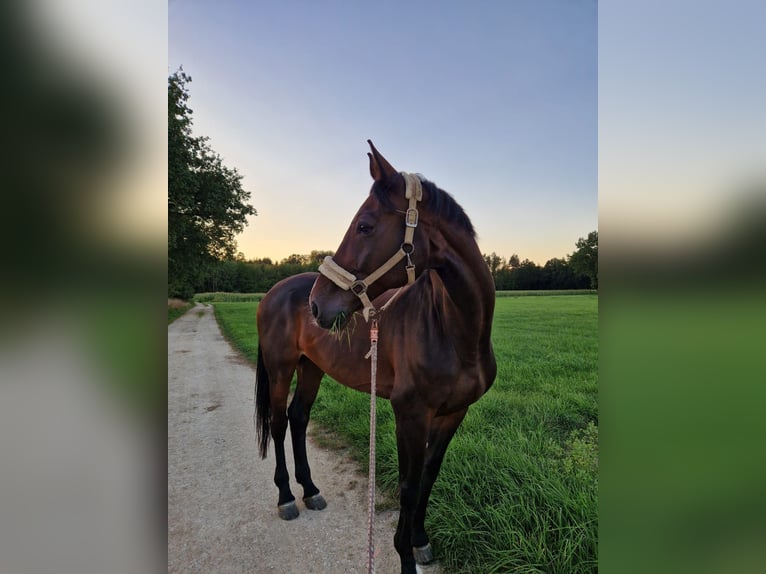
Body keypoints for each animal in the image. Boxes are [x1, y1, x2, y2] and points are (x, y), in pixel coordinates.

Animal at [255, 141, 500, 574]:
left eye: (365, 226)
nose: (317, 305)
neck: (455, 331)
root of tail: (273, 292)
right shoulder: (410, 414)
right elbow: (407, 485)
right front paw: (405, 554)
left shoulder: (454, 413)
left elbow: (428, 475)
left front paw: (419, 540)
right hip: (280, 368)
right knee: (279, 421)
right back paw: (286, 498)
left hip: (312, 368)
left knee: (299, 418)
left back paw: (311, 490)